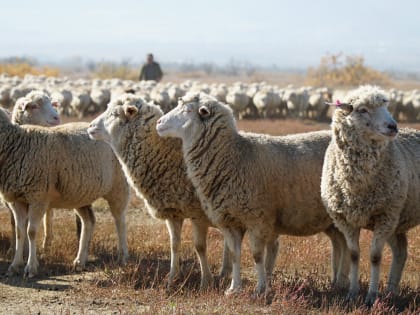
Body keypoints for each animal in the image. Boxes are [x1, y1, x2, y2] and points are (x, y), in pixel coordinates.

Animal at [0, 110, 130, 278]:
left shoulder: (38, 197)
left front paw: (31, 267)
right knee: (89, 221)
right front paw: (15, 265)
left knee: (120, 221)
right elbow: (19, 232)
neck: (16, 144)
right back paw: (80, 261)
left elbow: (31, 232)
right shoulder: (17, 200)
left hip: (118, 186)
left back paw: (123, 256)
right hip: (79, 193)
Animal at [87, 94, 231, 292]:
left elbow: (200, 247)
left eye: (115, 114)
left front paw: (205, 283)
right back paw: (225, 272)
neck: (165, 152)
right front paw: (171, 280)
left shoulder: (198, 214)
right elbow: (174, 245)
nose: (90, 127)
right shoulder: (173, 212)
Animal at [156, 92, 350, 296]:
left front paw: (260, 289)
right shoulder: (230, 220)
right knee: (340, 243)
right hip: (332, 220)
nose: (159, 123)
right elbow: (234, 255)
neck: (233, 155)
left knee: (346, 245)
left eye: (187, 110)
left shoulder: (257, 218)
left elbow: (257, 256)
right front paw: (233, 289)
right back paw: (337, 282)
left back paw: (344, 283)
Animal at [320, 84, 420, 306]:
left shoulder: (385, 216)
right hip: (398, 220)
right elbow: (353, 255)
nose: (393, 127)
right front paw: (352, 293)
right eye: (362, 110)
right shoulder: (347, 219)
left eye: (386, 107)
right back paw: (392, 291)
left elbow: (375, 257)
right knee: (401, 252)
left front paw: (371, 296)